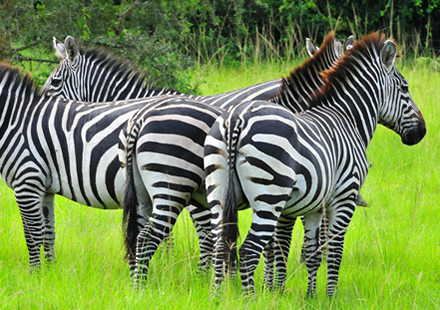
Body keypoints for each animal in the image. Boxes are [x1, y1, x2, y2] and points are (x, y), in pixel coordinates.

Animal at [205, 32, 426, 296]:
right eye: (405, 88)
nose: (422, 132)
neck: (346, 117)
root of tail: (236, 120)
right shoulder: (343, 197)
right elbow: (331, 250)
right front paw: (325, 296)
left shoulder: (312, 204)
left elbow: (309, 251)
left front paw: (306, 295)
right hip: (270, 195)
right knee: (248, 250)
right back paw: (250, 299)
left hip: (219, 192)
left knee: (221, 246)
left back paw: (217, 297)